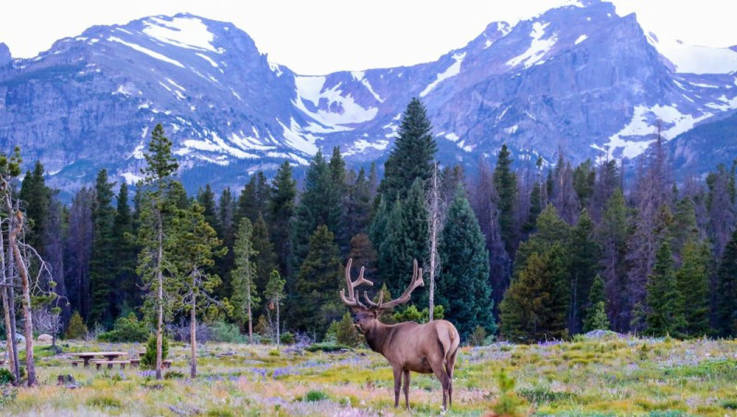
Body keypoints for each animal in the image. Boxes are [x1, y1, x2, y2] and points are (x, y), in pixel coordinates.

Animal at [340, 256, 458, 410]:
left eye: (370, 315)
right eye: (358, 312)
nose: (355, 319)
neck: (385, 341)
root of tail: (451, 332)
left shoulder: (397, 361)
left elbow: (397, 387)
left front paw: (396, 407)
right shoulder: (408, 365)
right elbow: (406, 388)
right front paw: (407, 407)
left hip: (435, 358)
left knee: (445, 381)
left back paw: (443, 407)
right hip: (452, 357)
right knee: (451, 381)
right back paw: (451, 406)